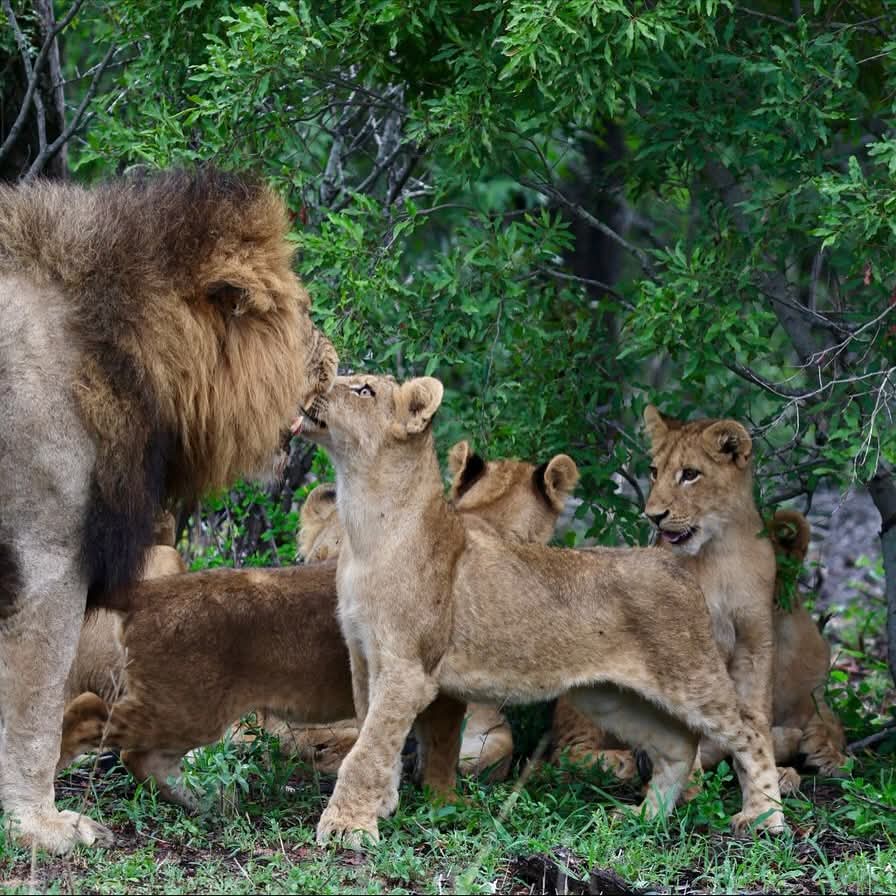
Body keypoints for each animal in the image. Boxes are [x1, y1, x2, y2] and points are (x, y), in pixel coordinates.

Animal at [295, 374, 785, 847]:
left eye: (363, 389)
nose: (311, 384)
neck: (365, 525)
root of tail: (675, 566)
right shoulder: (363, 658)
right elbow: (375, 738)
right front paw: (380, 807)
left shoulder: (408, 670)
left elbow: (367, 749)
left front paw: (346, 828)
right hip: (609, 694)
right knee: (678, 744)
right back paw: (644, 817)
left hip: (692, 678)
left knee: (749, 729)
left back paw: (764, 819)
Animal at [551, 410, 846, 790]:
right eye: (654, 471)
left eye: (690, 474)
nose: (653, 515)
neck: (720, 553)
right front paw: (690, 781)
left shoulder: (756, 640)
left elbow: (757, 712)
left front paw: (764, 772)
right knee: (565, 754)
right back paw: (630, 762)